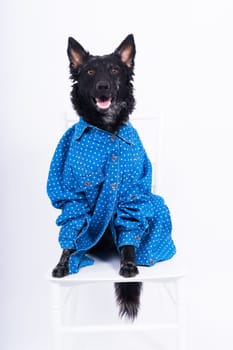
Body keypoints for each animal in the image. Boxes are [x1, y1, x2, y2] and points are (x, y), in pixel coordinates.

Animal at [51, 35, 142, 320]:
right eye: (90, 72)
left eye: (114, 71)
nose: (103, 86)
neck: (105, 128)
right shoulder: (72, 193)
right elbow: (71, 229)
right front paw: (65, 261)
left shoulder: (130, 193)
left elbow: (129, 233)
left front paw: (128, 263)